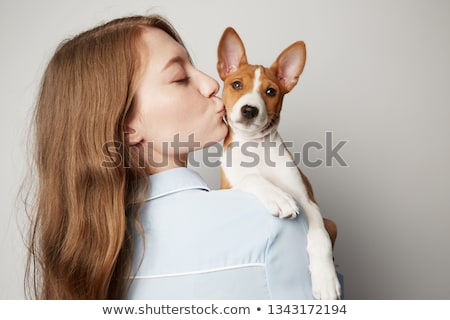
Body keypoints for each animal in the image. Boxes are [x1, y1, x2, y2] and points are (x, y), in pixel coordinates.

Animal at [218, 27, 342, 300]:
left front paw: (326, 280)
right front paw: (277, 197)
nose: (250, 110)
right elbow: (251, 177)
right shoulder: (228, 187)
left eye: (271, 92)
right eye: (236, 84)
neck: (255, 149)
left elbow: (319, 239)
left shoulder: (309, 202)